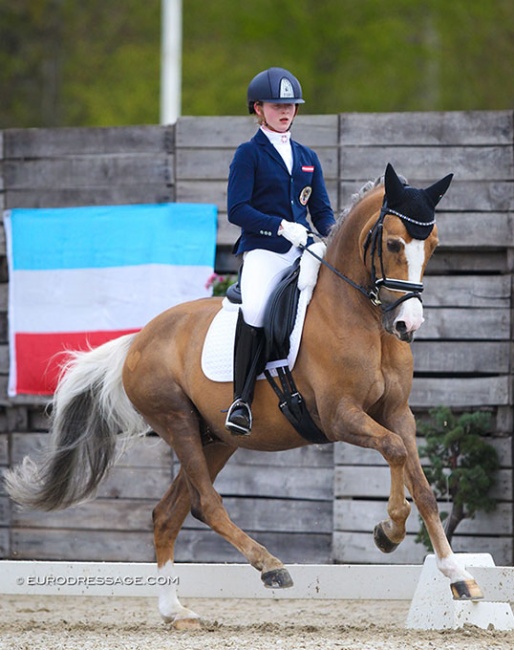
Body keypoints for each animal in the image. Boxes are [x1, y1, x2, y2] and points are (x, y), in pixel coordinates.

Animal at [6, 163, 480, 628]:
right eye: (395, 242)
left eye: (433, 245)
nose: (407, 325)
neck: (360, 316)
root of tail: (138, 339)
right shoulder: (339, 417)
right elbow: (394, 450)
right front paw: (390, 531)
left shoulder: (397, 412)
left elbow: (421, 484)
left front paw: (458, 576)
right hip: (177, 421)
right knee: (205, 504)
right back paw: (270, 566)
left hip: (216, 439)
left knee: (168, 513)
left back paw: (175, 610)